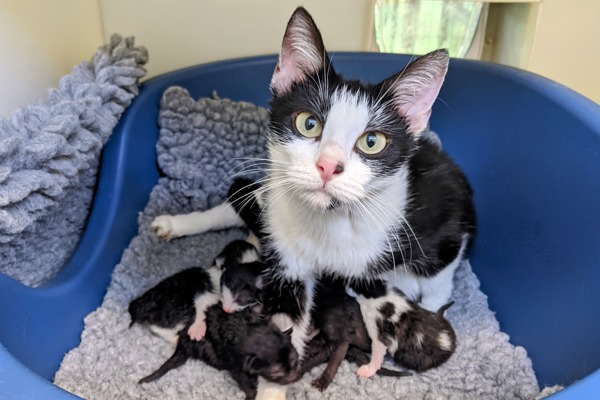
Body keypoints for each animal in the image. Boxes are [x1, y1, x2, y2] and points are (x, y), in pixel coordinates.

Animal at [152, 5, 476, 382]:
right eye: (309, 123)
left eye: (372, 141)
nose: (328, 166)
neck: (332, 220)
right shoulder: (287, 261)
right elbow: (287, 314)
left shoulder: (445, 225)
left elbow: (438, 282)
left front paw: (427, 321)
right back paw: (176, 224)